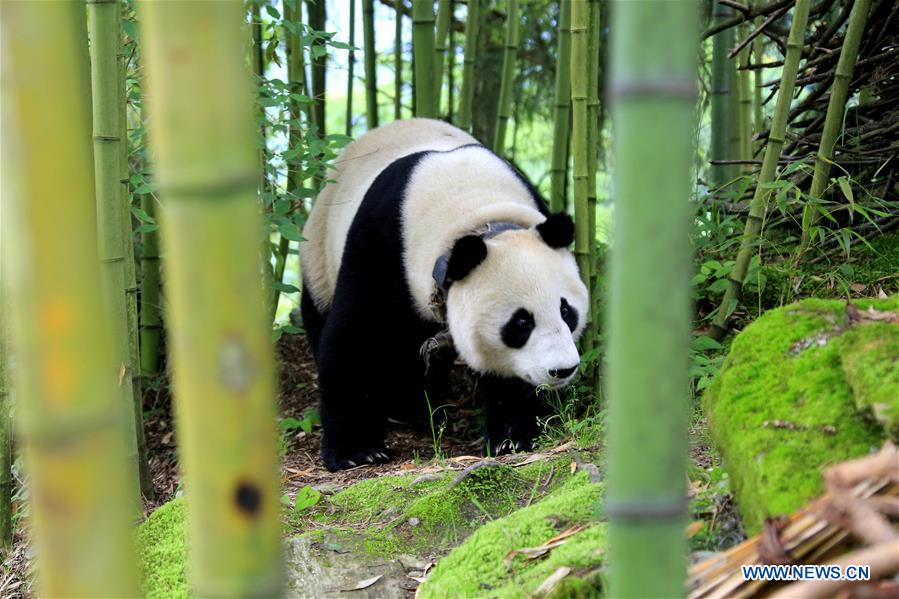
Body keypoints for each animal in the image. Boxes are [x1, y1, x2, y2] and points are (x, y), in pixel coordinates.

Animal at [300, 118, 589, 472]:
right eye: (521, 323)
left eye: (566, 311)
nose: (563, 370)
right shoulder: (382, 243)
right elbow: (355, 337)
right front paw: (358, 451)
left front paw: (514, 436)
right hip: (319, 252)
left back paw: (420, 410)